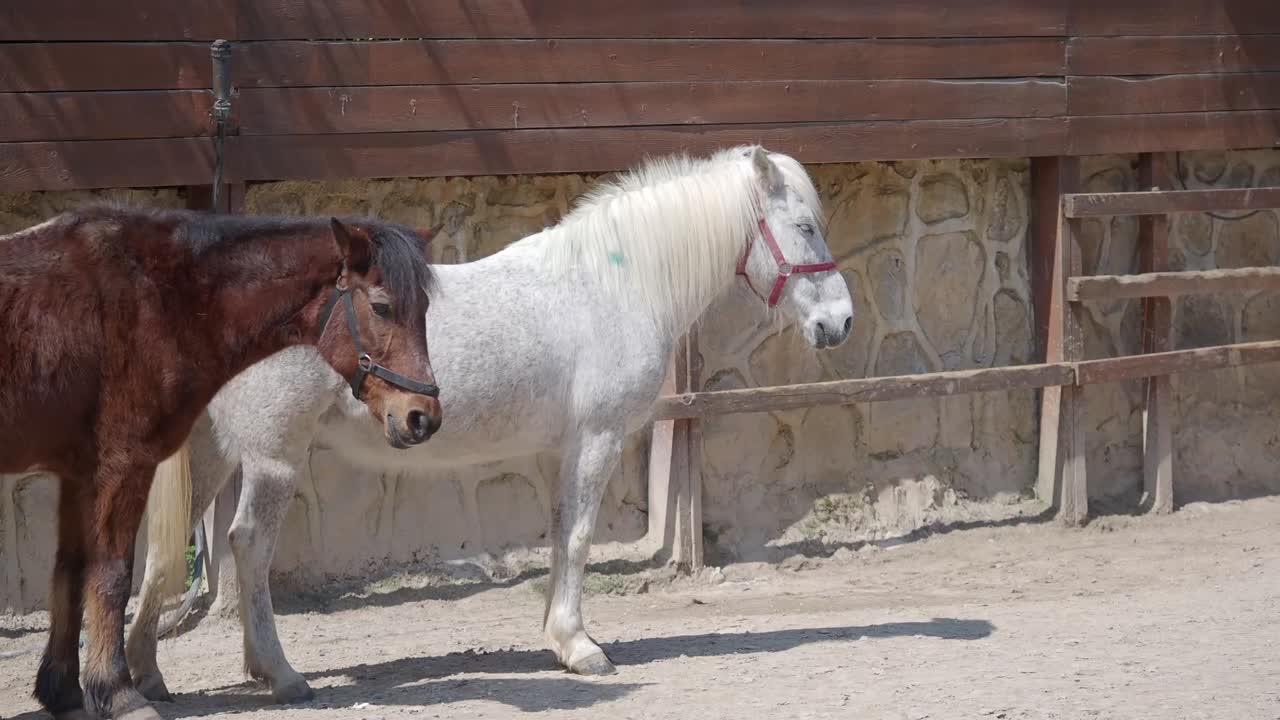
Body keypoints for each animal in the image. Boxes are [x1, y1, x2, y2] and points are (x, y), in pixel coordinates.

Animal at [0, 206, 443, 720]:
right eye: (382, 307)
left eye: (423, 309)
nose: (422, 417)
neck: (160, 300)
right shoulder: (121, 465)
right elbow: (111, 574)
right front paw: (118, 693)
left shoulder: (78, 472)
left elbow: (70, 573)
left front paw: (64, 693)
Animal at [127, 145, 855, 704]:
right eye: (804, 226)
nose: (841, 321)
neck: (612, 286)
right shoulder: (597, 440)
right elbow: (582, 538)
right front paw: (582, 647)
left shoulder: (561, 450)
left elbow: (561, 534)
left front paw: (558, 637)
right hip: (274, 453)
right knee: (249, 545)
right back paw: (278, 674)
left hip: (210, 449)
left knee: (162, 550)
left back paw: (146, 674)